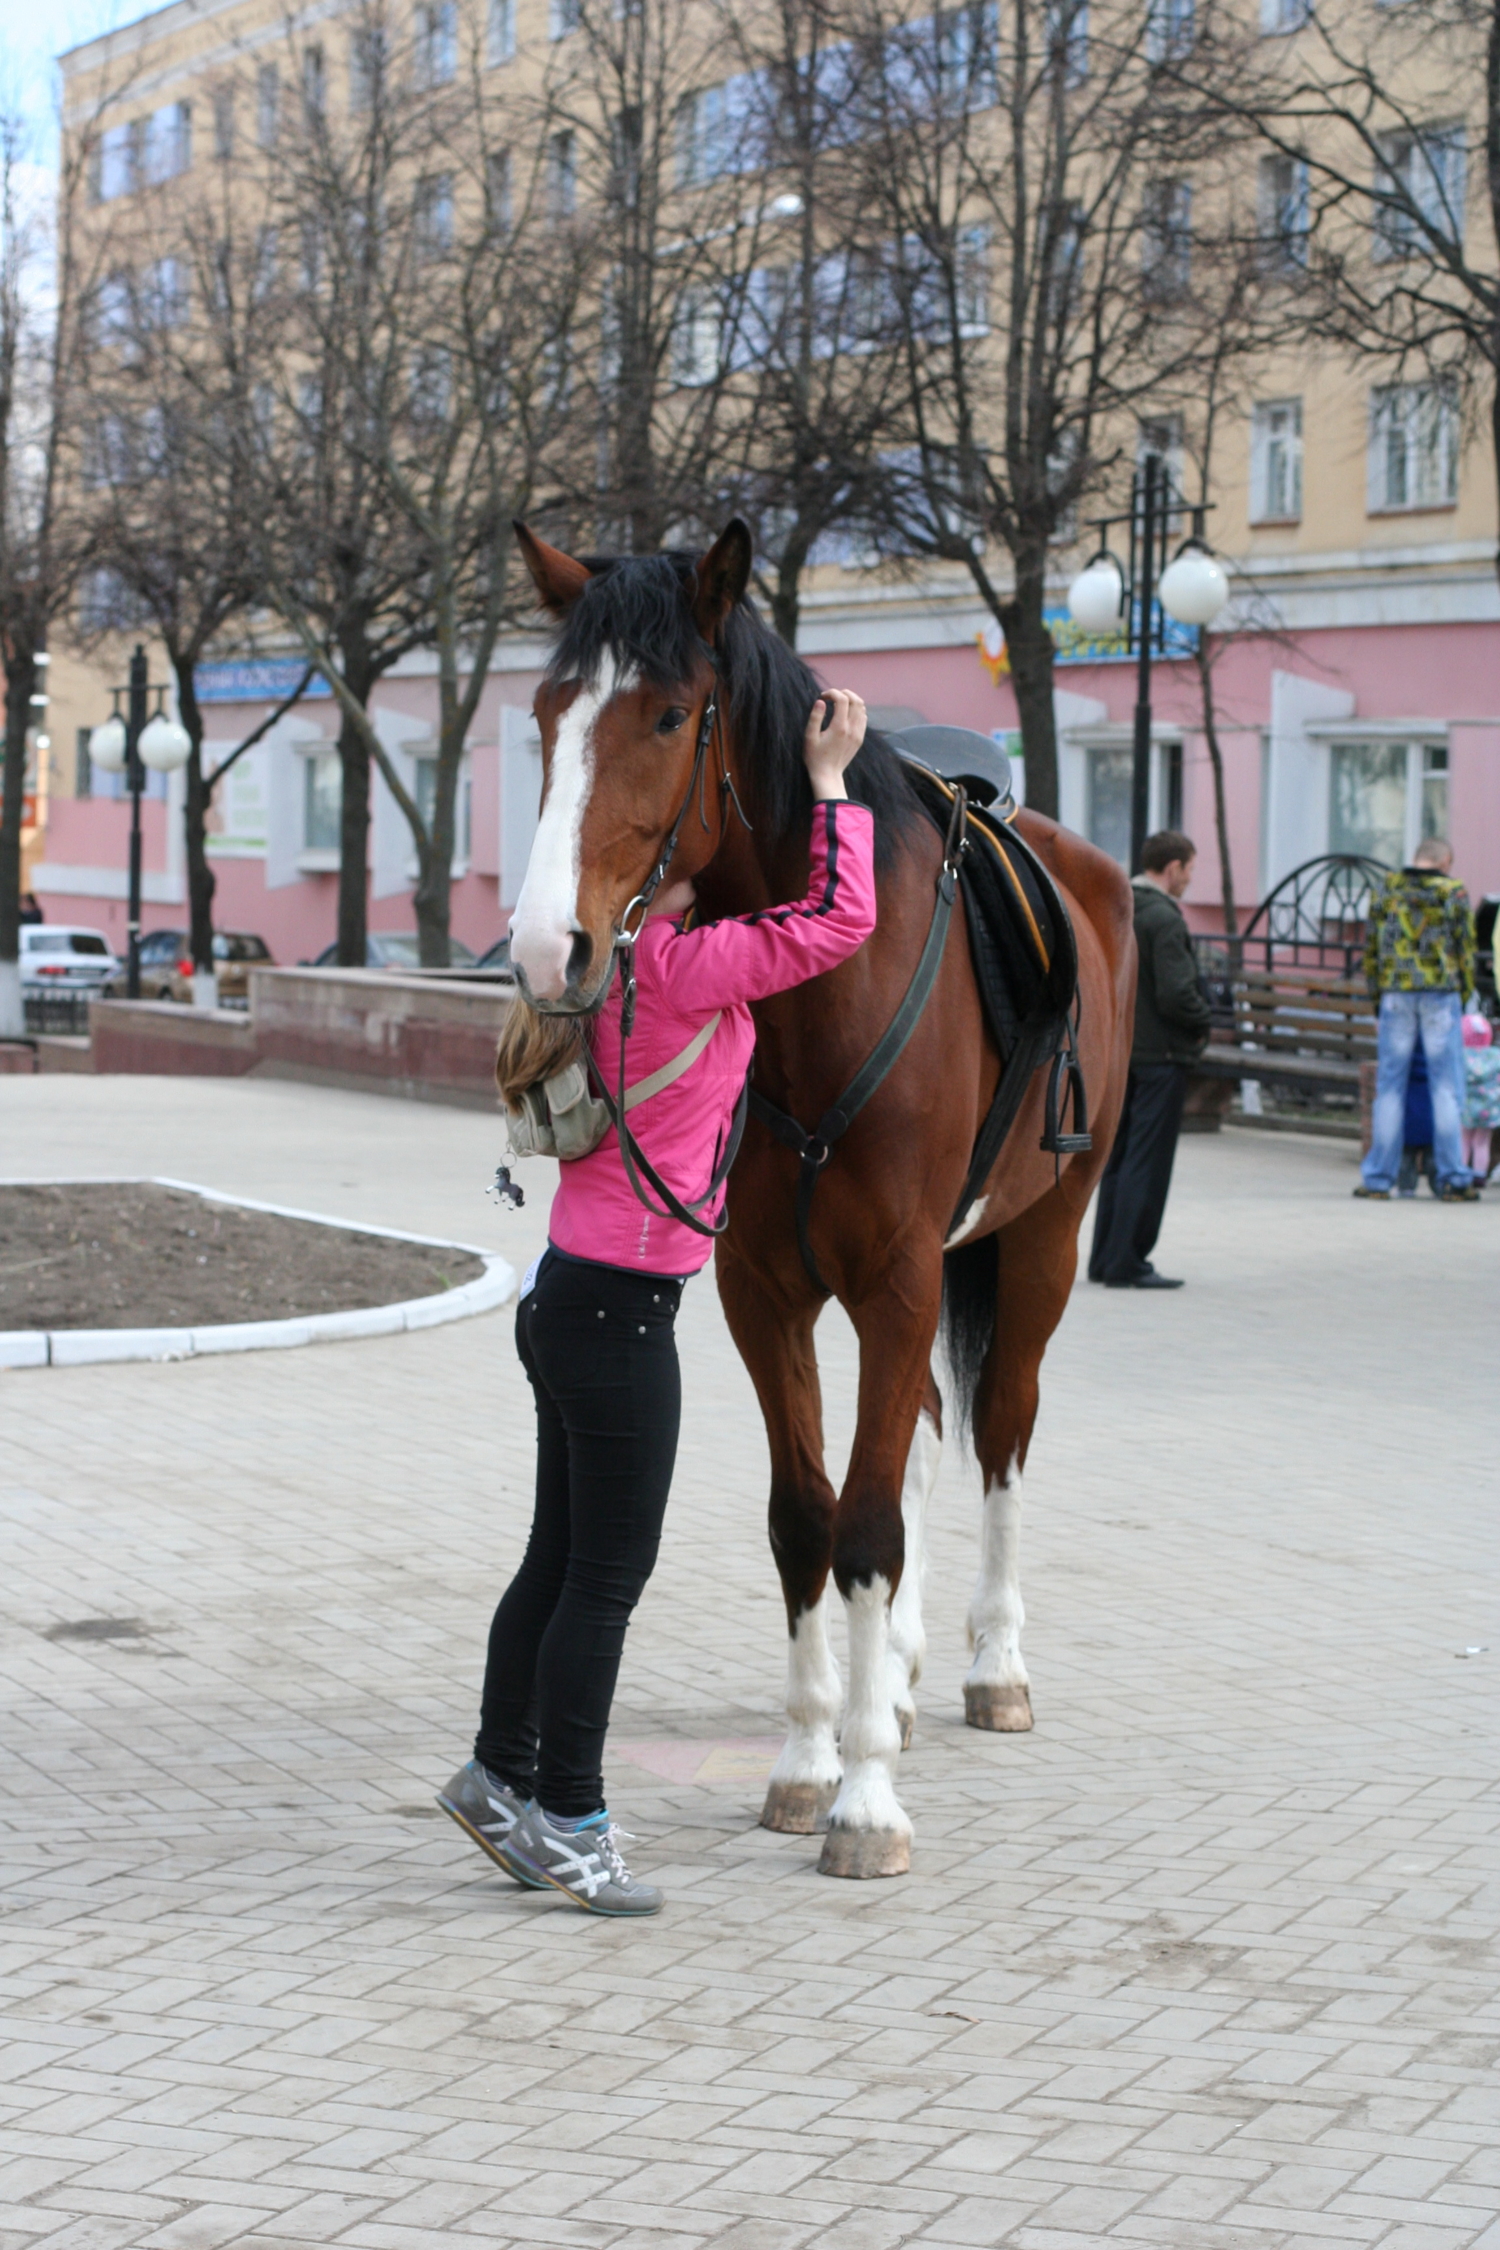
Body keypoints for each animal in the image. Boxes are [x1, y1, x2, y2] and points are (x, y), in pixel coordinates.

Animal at [510, 517, 1133, 1872]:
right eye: (544, 713)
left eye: (669, 714)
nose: (544, 949)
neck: (826, 997)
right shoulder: (768, 1293)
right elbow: (811, 1516)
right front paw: (812, 1759)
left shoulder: (900, 1286)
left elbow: (869, 1526)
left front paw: (866, 1803)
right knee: (926, 1444)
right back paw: (888, 1679)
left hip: (1043, 1241)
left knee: (1001, 1428)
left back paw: (992, 1667)